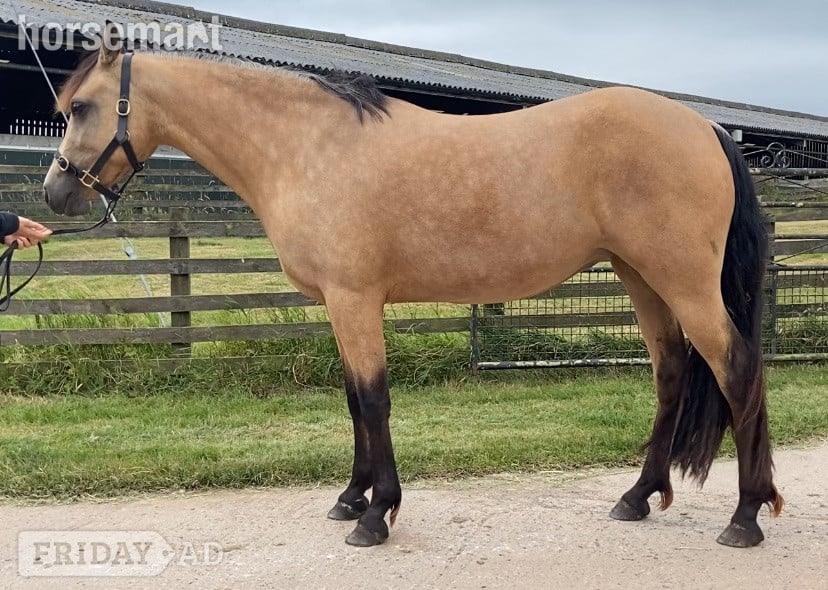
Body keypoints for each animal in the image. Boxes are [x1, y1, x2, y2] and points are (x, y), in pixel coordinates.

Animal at [43, 39, 783, 548]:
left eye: (79, 107)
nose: (55, 195)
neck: (308, 146)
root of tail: (706, 127)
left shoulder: (354, 299)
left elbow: (373, 399)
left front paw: (376, 515)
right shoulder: (339, 305)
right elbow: (353, 400)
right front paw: (351, 496)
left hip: (682, 282)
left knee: (738, 368)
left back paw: (746, 515)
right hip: (640, 277)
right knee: (671, 374)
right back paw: (638, 496)